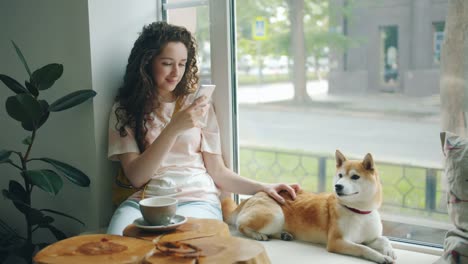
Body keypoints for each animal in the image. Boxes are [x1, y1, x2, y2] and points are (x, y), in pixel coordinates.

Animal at [222, 150, 394, 262]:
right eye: (340, 175)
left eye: (355, 177)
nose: (338, 186)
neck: (358, 211)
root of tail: (256, 195)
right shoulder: (337, 241)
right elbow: (363, 248)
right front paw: (381, 257)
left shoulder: (369, 238)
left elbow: (383, 239)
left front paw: (389, 250)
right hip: (276, 216)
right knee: (241, 225)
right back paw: (257, 234)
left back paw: (284, 235)